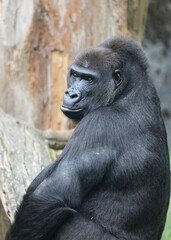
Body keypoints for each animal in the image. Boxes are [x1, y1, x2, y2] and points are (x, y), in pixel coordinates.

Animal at [5, 36, 170, 240]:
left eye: (89, 79)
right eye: (75, 75)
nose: (71, 94)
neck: (128, 90)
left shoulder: (98, 124)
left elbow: (51, 193)